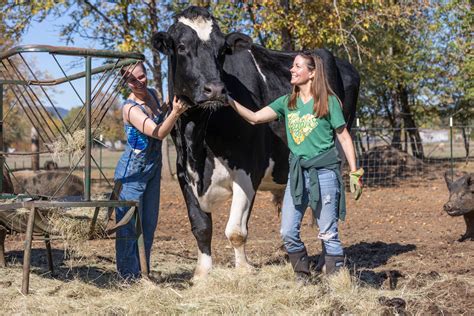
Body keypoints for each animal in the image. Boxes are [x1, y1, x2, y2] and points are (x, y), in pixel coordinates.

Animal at [154, 6, 362, 278]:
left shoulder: (248, 170)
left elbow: (236, 231)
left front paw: (243, 271)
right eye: (181, 46)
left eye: (222, 51)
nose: (216, 89)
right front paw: (202, 274)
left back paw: (322, 265)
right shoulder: (183, 172)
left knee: (325, 216)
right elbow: (201, 226)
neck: (198, 136)